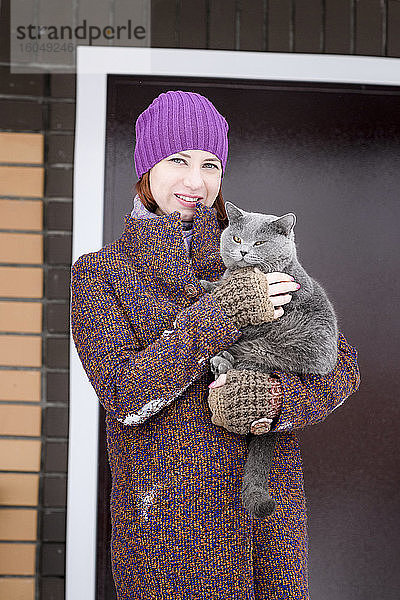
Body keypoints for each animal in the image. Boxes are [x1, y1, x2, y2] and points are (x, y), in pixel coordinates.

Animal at [200, 202, 338, 520]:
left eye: (260, 243)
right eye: (237, 238)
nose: (242, 251)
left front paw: (204, 287)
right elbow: (222, 285)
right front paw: (212, 285)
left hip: (271, 346)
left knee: (241, 354)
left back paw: (221, 365)